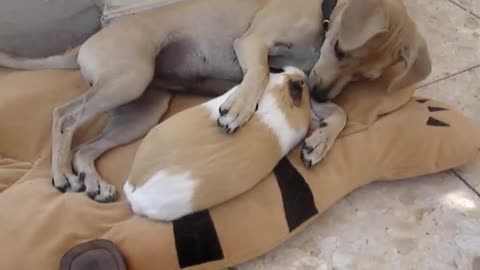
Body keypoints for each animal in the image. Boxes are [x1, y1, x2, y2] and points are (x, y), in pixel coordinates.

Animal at [0, 0, 432, 202]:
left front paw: (320, 142)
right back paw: (61, 174)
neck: (322, 14)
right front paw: (238, 109)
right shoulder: (254, 45)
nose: (321, 92)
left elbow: (340, 113)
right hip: (127, 79)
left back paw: (94, 182)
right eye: (340, 48)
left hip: (143, 108)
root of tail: (83, 45)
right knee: (64, 116)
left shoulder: (305, 80)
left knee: (87, 148)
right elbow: (257, 75)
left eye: (366, 77)